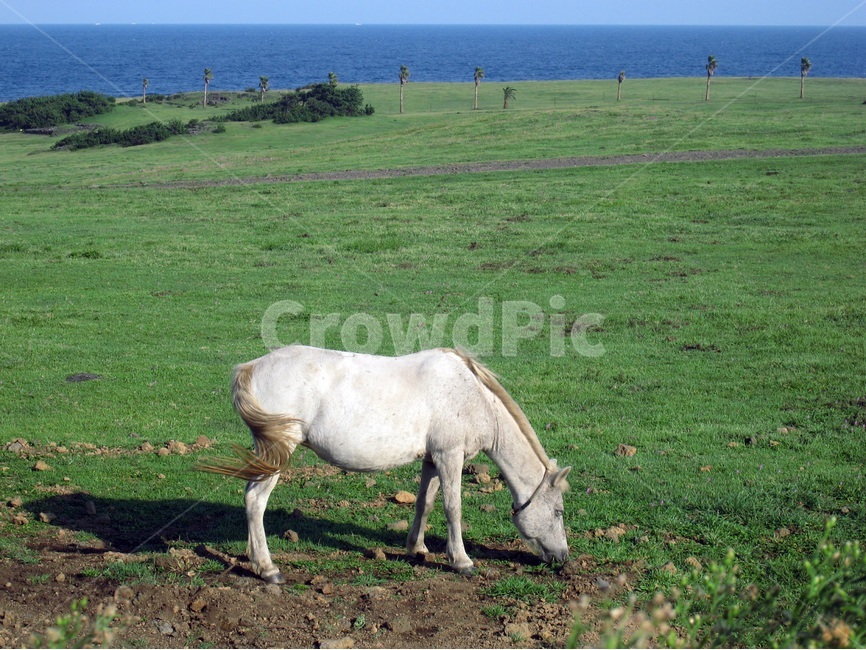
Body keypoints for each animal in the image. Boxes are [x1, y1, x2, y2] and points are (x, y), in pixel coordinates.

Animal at [200, 345, 571, 584]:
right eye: (558, 512)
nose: (564, 558)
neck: (472, 395)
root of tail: (254, 366)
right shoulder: (450, 456)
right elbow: (453, 508)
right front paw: (461, 561)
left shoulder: (432, 460)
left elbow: (425, 503)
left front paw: (416, 548)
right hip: (279, 451)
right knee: (255, 502)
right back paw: (268, 569)